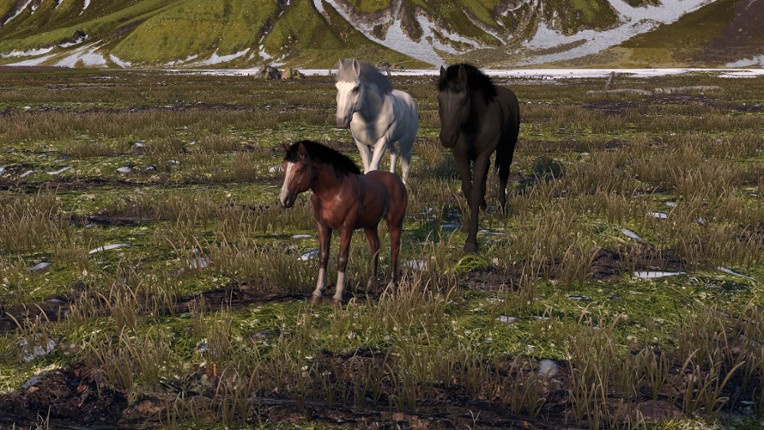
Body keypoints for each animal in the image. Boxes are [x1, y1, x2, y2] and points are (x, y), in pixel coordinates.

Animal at [278, 140, 408, 306]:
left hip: (395, 222)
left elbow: (342, 259)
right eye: (284, 167)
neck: (332, 192)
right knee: (375, 246)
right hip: (370, 225)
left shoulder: (346, 228)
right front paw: (317, 294)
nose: (284, 199)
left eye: (301, 169)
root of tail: (397, 180)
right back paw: (370, 285)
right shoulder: (323, 227)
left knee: (395, 248)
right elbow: (323, 257)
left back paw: (392, 285)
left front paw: (337, 297)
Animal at [437, 63, 520, 253]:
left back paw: (501, 210)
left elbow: (474, 192)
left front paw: (471, 243)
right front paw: (467, 225)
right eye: (439, 99)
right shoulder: (460, 155)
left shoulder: (482, 154)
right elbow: (467, 189)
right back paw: (484, 205)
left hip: (508, 146)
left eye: (463, 100)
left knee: (503, 173)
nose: (447, 138)